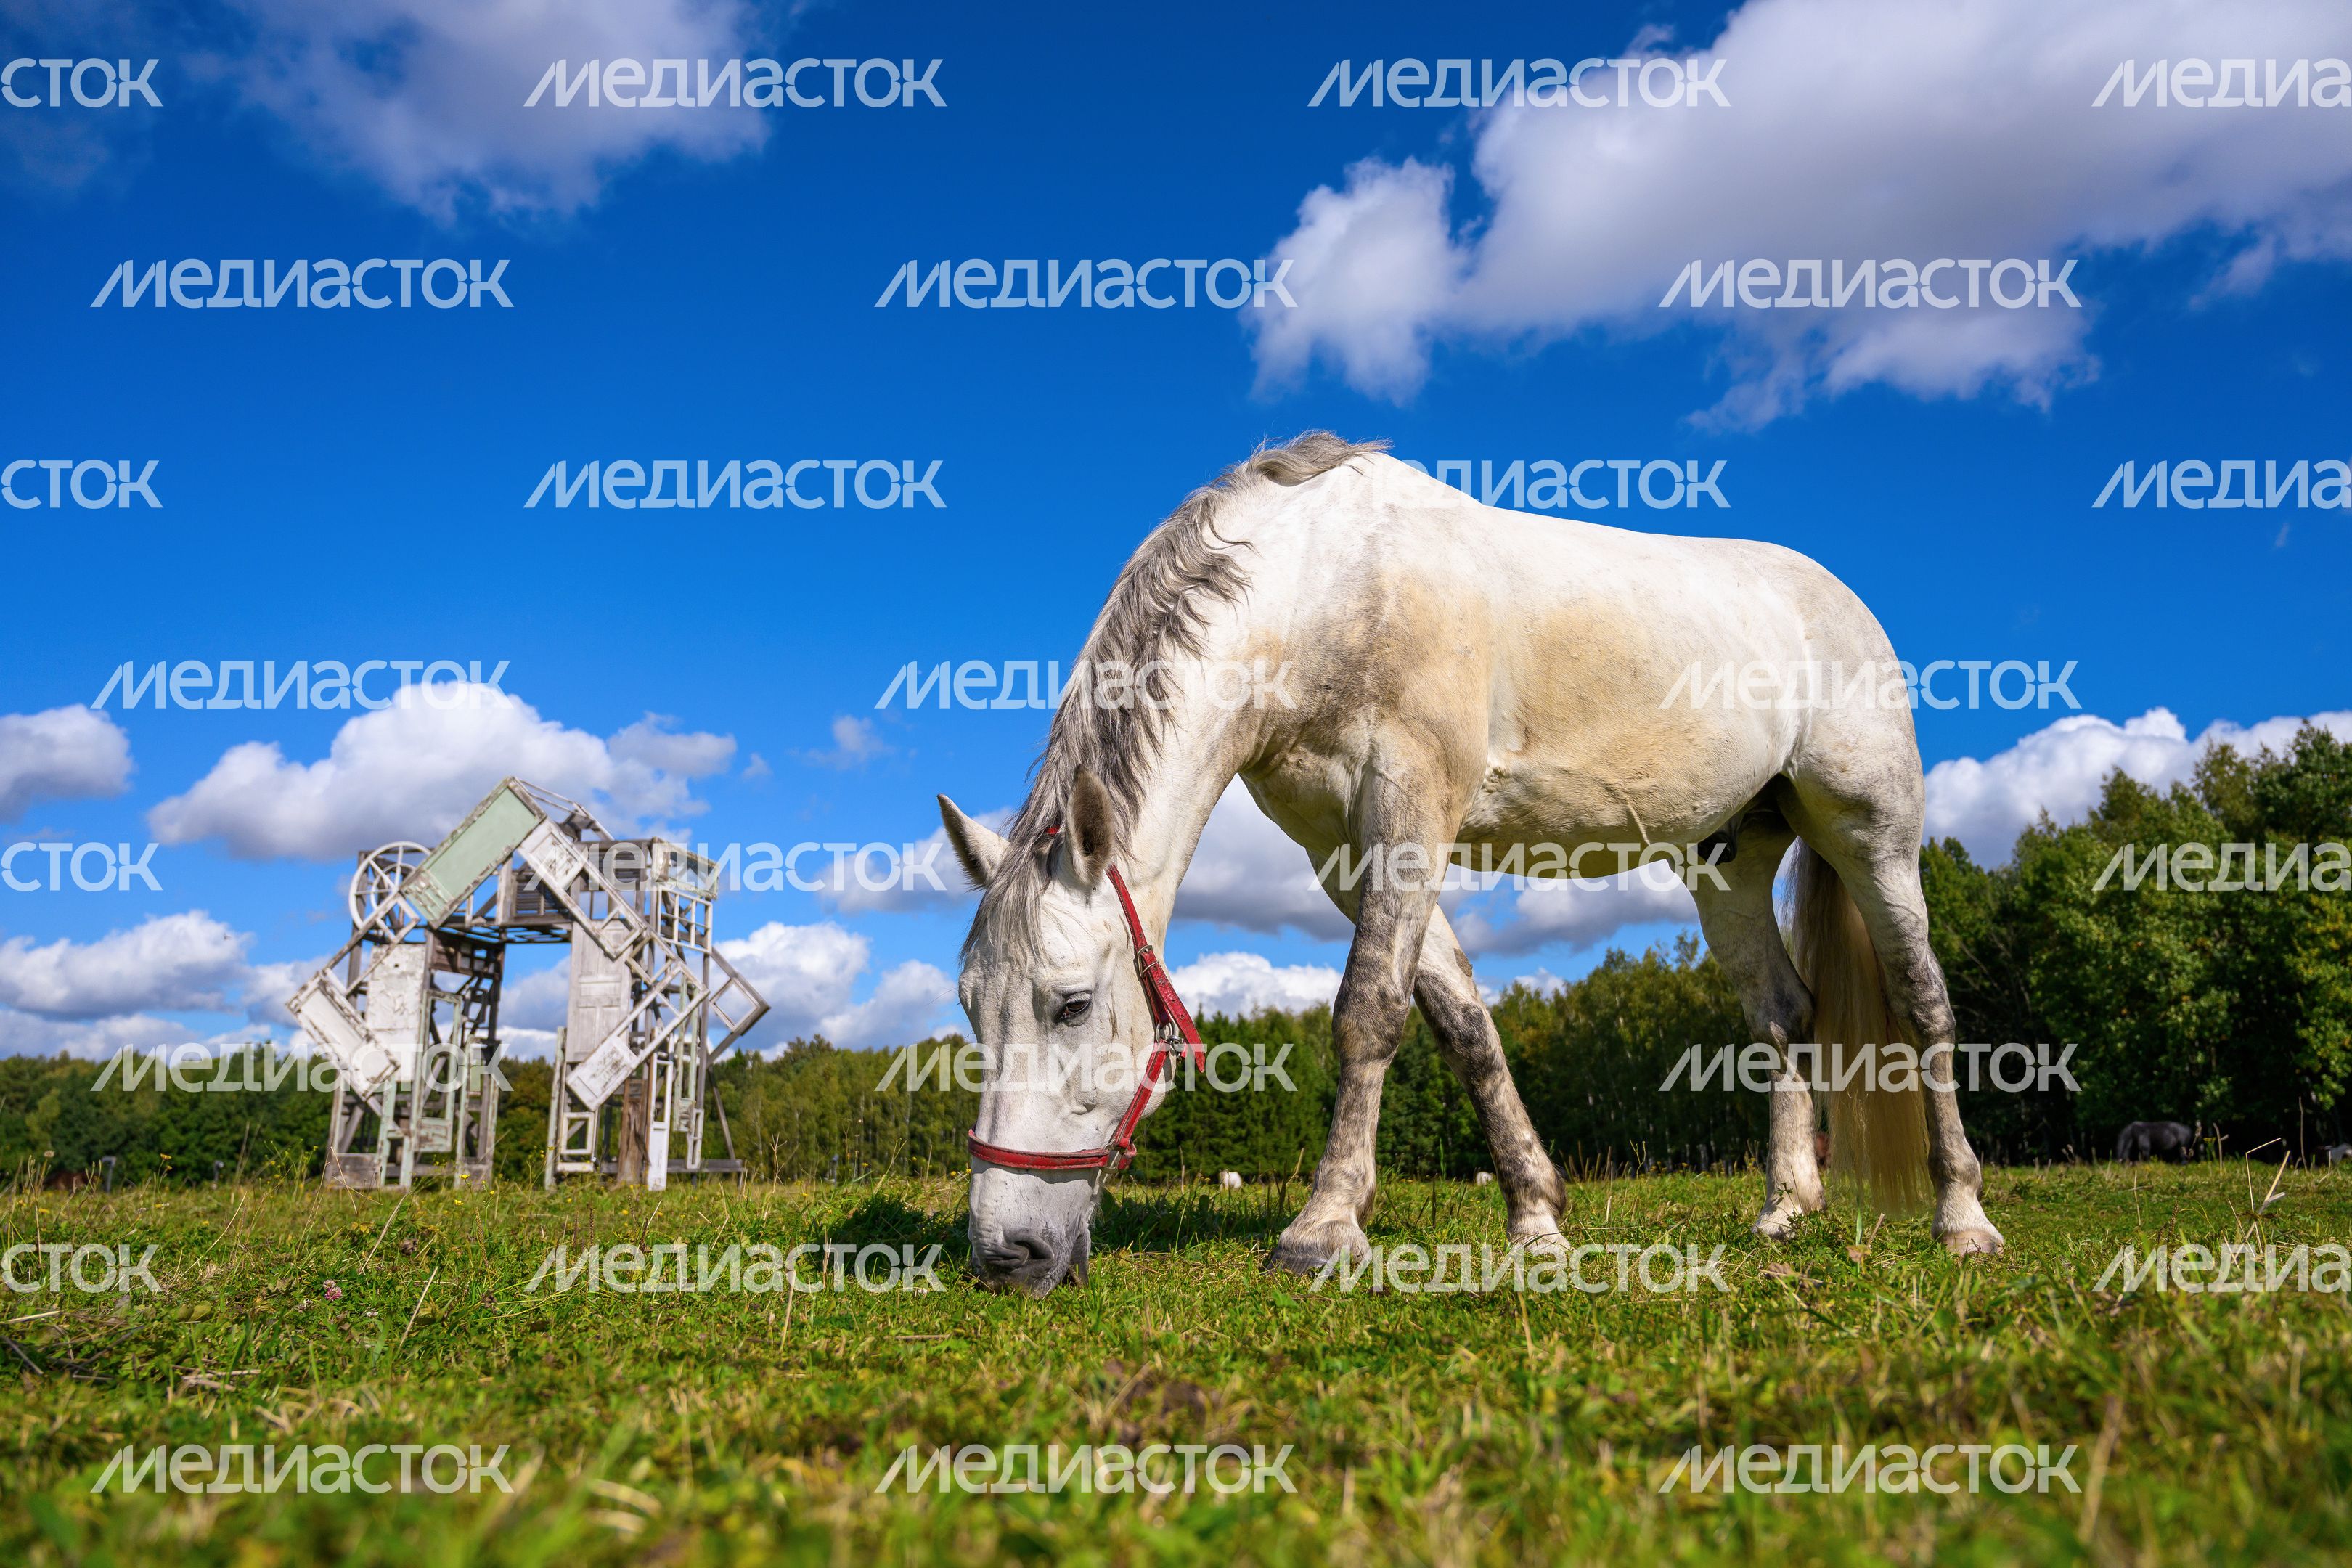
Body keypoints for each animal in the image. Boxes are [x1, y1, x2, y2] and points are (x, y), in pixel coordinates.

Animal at [939, 433, 2002, 1293]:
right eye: (971, 1009)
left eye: (1072, 1005)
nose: (1005, 1256)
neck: (1321, 588)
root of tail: (1839, 601)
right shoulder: (1345, 853)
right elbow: (1462, 1027)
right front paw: (1537, 1218)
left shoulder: (1410, 810)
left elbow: (1370, 1011)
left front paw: (1323, 1230)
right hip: (1728, 863)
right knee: (1783, 1014)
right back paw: (1785, 1208)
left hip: (1872, 836)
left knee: (1922, 1002)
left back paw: (1963, 1219)